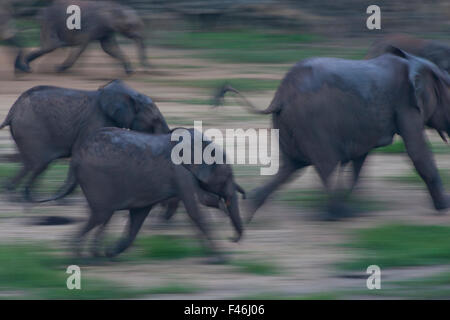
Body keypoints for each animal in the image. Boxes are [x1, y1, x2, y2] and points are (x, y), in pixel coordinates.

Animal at [0, 79, 169, 200]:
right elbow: (79, 150)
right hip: (31, 128)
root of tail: (13, 110)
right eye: (155, 120)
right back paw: (26, 195)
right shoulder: (96, 120)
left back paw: (12, 192)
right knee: (40, 164)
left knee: (29, 164)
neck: (133, 95)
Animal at [214, 48, 450, 220]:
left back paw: (250, 209)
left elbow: (359, 159)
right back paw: (340, 214)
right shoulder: (406, 105)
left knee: (290, 167)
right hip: (312, 124)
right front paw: (444, 206)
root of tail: (280, 95)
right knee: (323, 165)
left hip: (289, 125)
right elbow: (418, 151)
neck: (416, 62)